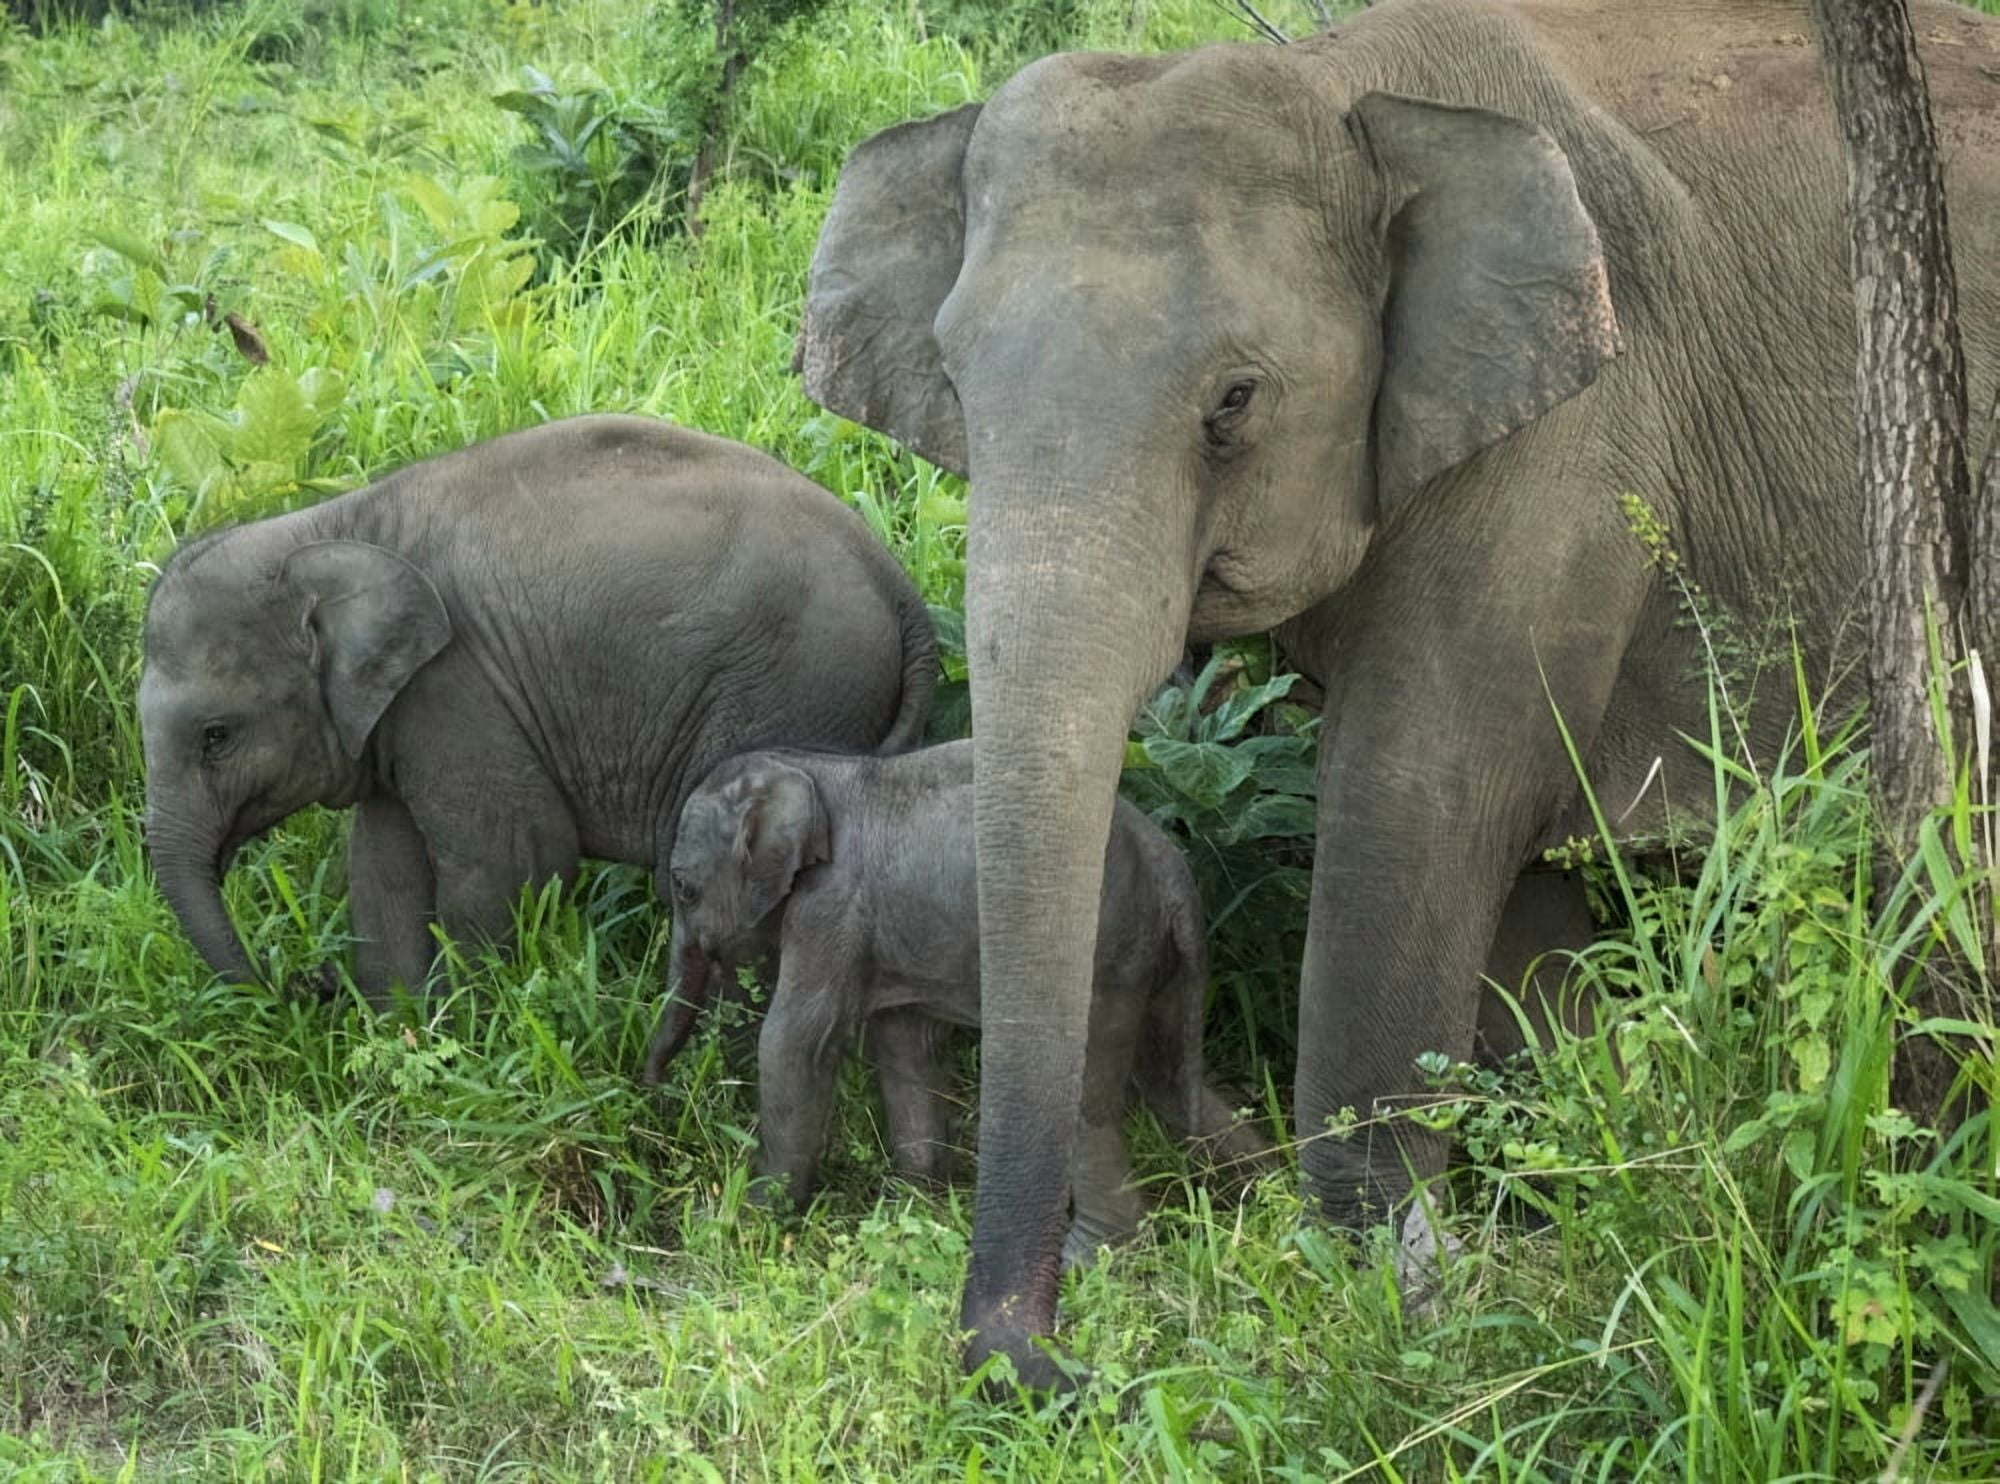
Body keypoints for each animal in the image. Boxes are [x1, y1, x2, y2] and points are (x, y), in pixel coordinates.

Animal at [138, 414, 936, 1004]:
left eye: (216, 736)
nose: (299, 985)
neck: (327, 522)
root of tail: (898, 586)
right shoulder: (406, 713)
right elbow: (384, 864)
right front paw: (403, 1024)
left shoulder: (456, 686)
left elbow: (513, 855)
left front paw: (460, 1017)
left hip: (792, 693)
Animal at [640, 741, 1261, 1263]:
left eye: (683, 889)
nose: (651, 1088)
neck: (811, 767)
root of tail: (1170, 866)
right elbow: (903, 1045)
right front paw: (908, 1210)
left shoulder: (832, 908)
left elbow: (795, 1044)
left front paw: (743, 1222)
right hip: (1149, 960)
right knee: (1168, 1079)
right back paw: (1266, 1196)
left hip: (1099, 956)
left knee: (1089, 1092)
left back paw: (1090, 1260)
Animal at [794, 0, 2000, 1383]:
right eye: (952, 384)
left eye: (1233, 400)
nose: (1036, 1361)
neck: (1345, 83)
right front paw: (1574, 1163)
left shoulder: (1566, 442)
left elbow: (1417, 803)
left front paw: (1385, 1289)